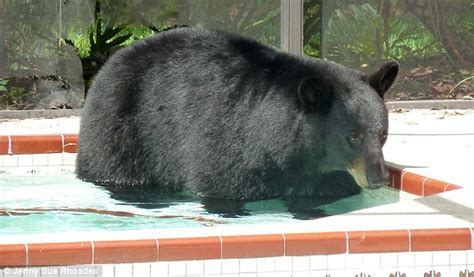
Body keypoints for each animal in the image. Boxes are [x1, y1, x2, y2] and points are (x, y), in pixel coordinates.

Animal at [77, 27, 396, 201]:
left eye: (383, 135)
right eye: (352, 137)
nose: (379, 177)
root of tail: (109, 62)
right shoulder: (231, 140)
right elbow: (222, 182)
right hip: (120, 125)